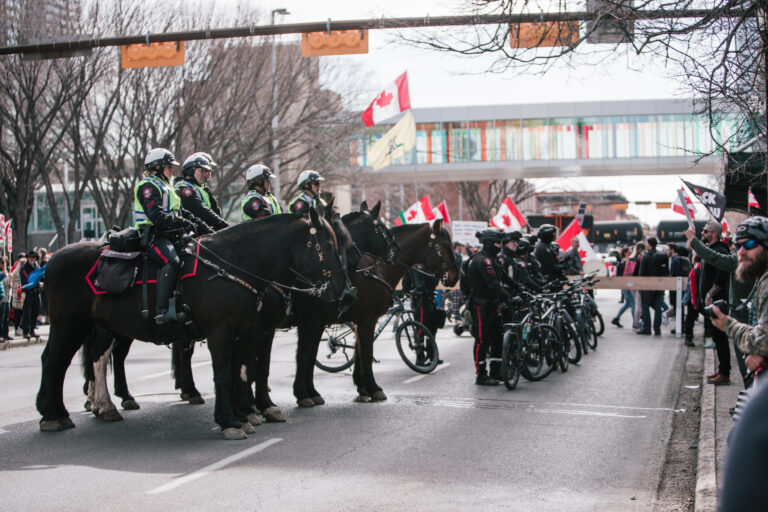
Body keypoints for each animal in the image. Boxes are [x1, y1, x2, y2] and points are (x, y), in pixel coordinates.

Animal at [36, 210, 348, 438]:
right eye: (327, 245)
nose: (340, 291)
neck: (232, 266)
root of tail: (53, 260)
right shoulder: (225, 331)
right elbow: (228, 373)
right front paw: (231, 420)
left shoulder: (242, 331)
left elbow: (241, 371)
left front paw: (244, 414)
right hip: (68, 325)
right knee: (54, 362)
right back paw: (53, 414)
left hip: (102, 326)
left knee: (96, 359)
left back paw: (101, 406)